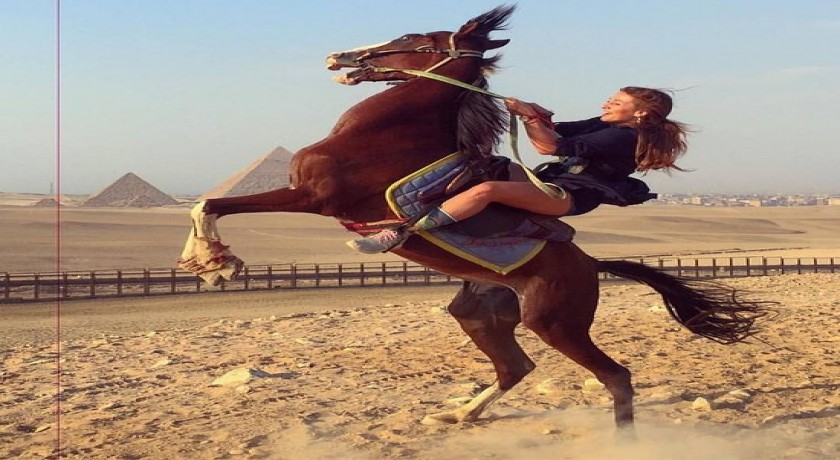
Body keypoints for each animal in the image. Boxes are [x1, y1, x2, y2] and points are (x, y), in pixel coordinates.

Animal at [179, 5, 770, 433]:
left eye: (413, 34)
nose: (338, 56)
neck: (381, 135)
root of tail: (592, 264)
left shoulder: (315, 197)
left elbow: (211, 204)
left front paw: (213, 261)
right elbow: (206, 203)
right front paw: (205, 261)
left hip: (555, 321)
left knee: (616, 377)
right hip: (480, 312)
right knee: (517, 367)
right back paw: (459, 412)